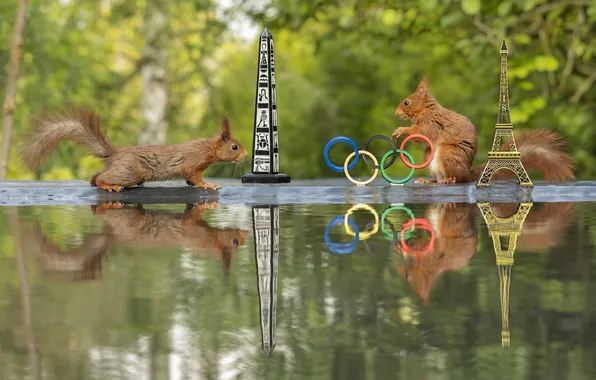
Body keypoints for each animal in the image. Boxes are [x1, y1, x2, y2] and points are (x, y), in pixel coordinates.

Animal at [22, 107, 247, 191]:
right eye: (234, 147)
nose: (246, 155)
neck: (209, 148)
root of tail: (116, 153)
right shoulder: (193, 161)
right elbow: (193, 174)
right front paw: (207, 184)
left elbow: (189, 179)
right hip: (130, 171)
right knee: (102, 178)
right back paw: (109, 186)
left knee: (94, 177)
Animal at [388, 76, 576, 183]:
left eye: (406, 102)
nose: (395, 113)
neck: (426, 108)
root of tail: (468, 172)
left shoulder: (431, 122)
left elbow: (421, 133)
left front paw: (400, 130)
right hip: (429, 154)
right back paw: (429, 181)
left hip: (449, 153)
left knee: (460, 179)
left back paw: (450, 179)